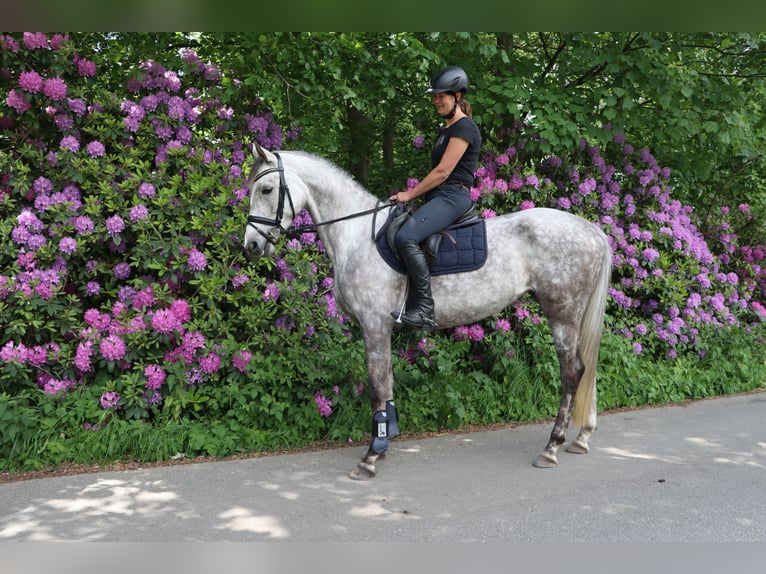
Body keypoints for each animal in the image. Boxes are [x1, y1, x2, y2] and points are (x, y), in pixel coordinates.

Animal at [243, 144, 616, 482]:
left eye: (266, 189)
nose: (251, 246)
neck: (359, 236)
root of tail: (591, 230)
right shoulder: (380, 328)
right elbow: (388, 383)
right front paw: (385, 442)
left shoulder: (374, 325)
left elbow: (377, 386)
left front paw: (371, 457)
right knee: (588, 367)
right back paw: (581, 439)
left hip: (562, 315)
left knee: (572, 373)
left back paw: (552, 447)